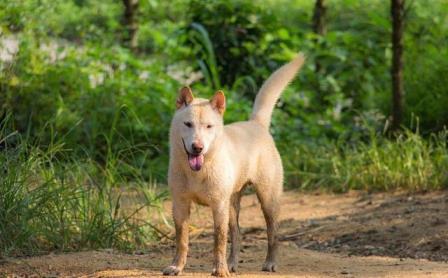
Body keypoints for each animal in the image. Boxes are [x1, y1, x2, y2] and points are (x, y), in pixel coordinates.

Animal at [163, 53, 306, 276]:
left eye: (209, 126)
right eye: (188, 124)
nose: (197, 147)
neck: (198, 171)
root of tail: (257, 124)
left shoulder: (218, 206)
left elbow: (219, 241)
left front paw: (220, 270)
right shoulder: (180, 204)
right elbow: (182, 240)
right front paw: (177, 266)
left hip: (268, 200)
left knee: (273, 233)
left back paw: (270, 263)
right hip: (232, 204)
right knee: (237, 234)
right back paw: (232, 263)